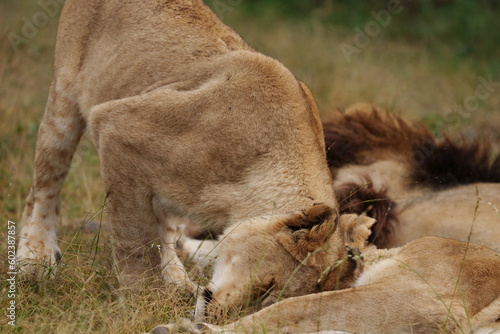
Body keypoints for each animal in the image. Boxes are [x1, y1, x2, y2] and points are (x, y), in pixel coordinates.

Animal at [16, 0, 336, 288]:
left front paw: (171, 284)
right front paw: (141, 299)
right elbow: (134, 238)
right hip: (63, 102)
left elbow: (160, 233)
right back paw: (34, 258)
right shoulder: (115, 126)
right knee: (43, 188)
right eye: (270, 284)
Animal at [154, 205, 500, 332]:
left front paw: (189, 328)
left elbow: (293, 307)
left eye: (267, 288)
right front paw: (181, 243)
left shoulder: (424, 298)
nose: (218, 316)